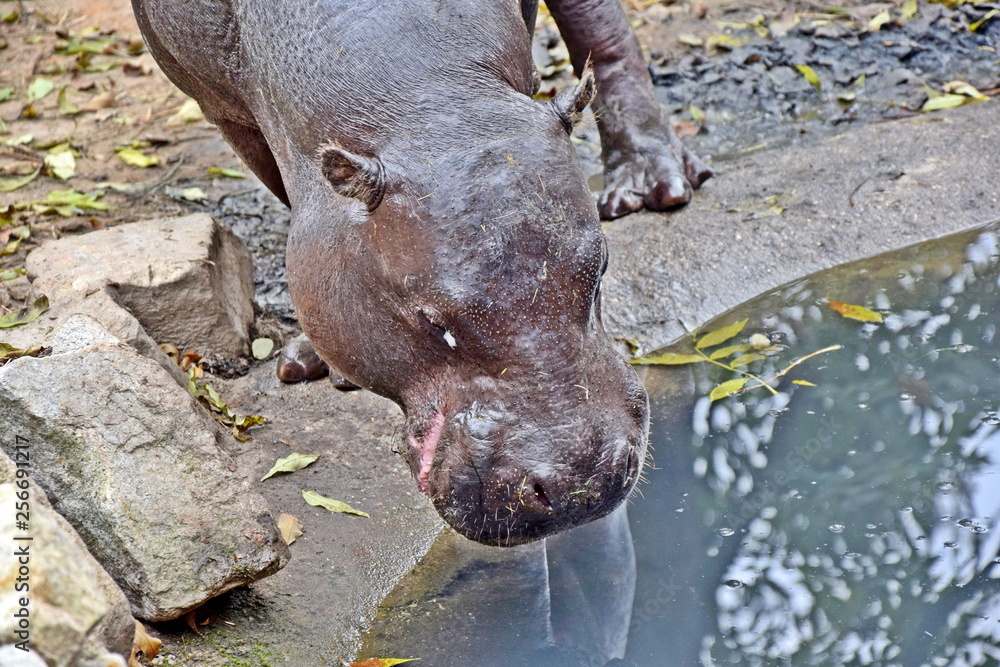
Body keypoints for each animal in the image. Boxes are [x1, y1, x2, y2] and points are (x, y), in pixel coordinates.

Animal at [131, 0, 710, 546]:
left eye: (601, 268)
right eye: (431, 320)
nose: (580, 485)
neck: (430, 99)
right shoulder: (222, 107)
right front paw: (313, 363)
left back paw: (652, 185)